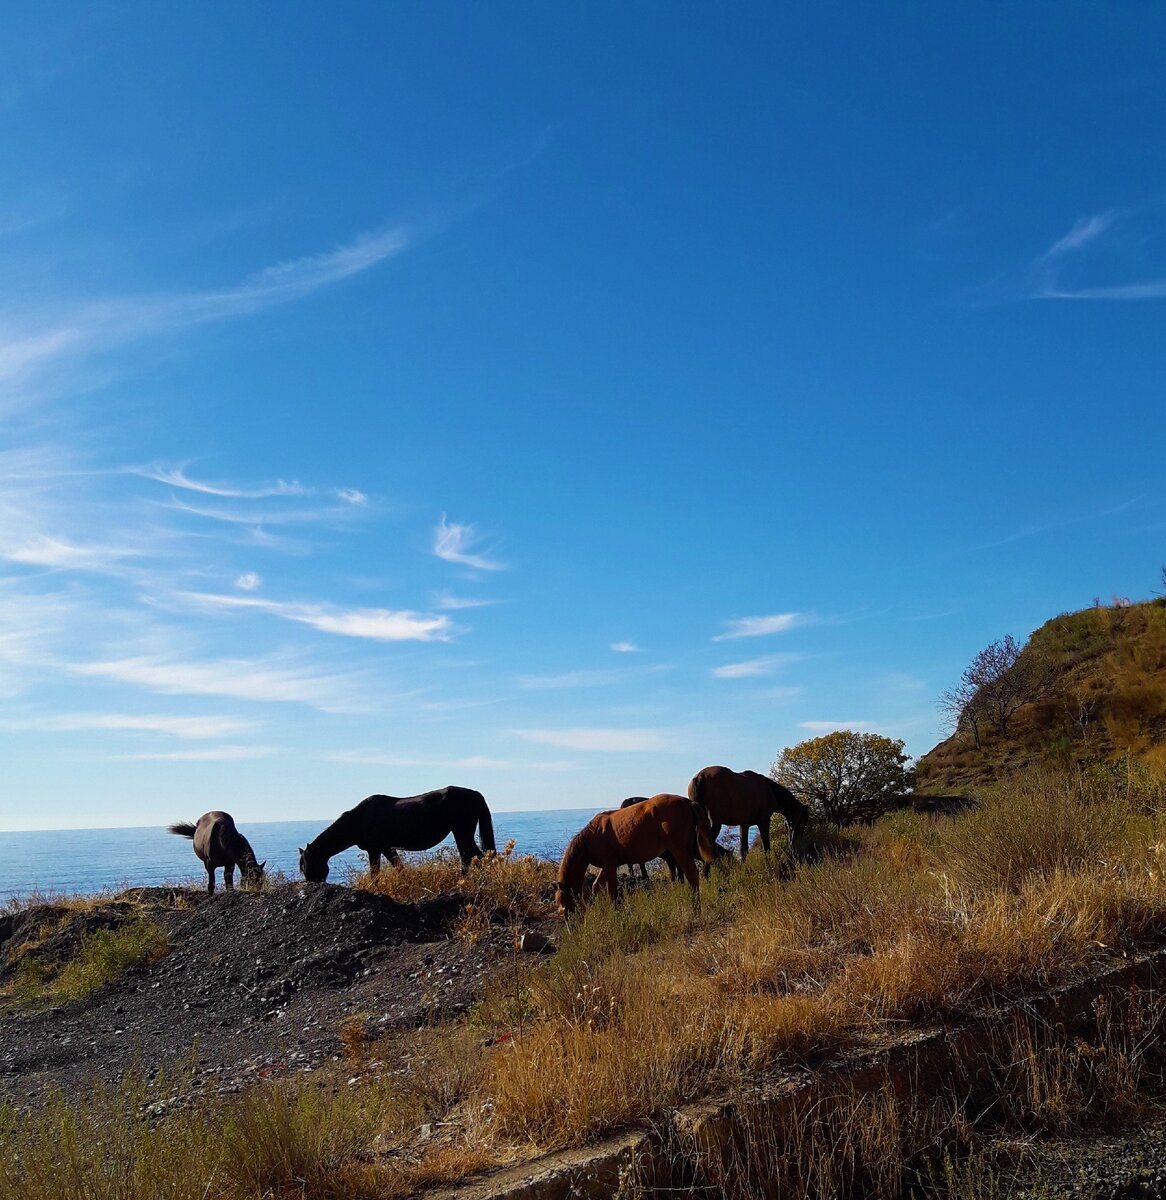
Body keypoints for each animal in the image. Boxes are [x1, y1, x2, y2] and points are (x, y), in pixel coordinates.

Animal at [298, 787, 494, 883]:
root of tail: (475, 794)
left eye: (307, 865)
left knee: (469, 857)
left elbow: (378, 872)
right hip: (462, 833)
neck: (357, 820)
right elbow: (397, 868)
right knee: (475, 857)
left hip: (462, 832)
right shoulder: (384, 848)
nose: (312, 884)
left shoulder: (376, 849)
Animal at [559, 792, 719, 912]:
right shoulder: (607, 866)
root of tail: (688, 802)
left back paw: (696, 909)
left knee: (691, 873)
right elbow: (596, 886)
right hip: (686, 847)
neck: (591, 836)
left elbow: (613, 893)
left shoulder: (610, 867)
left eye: (564, 905)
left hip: (678, 848)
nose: (570, 926)